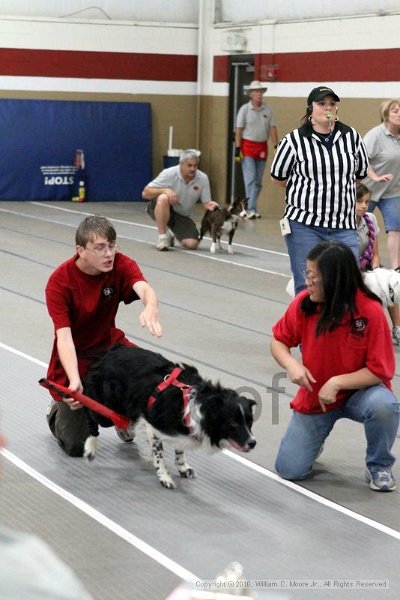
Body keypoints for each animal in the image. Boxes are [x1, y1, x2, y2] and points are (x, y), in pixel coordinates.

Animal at [82, 344, 256, 490]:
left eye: (250, 422)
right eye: (233, 423)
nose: (253, 443)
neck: (199, 404)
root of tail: (110, 352)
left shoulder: (183, 427)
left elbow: (180, 449)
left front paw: (182, 467)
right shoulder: (152, 426)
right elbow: (159, 456)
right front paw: (164, 477)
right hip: (103, 405)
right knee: (89, 411)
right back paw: (90, 447)